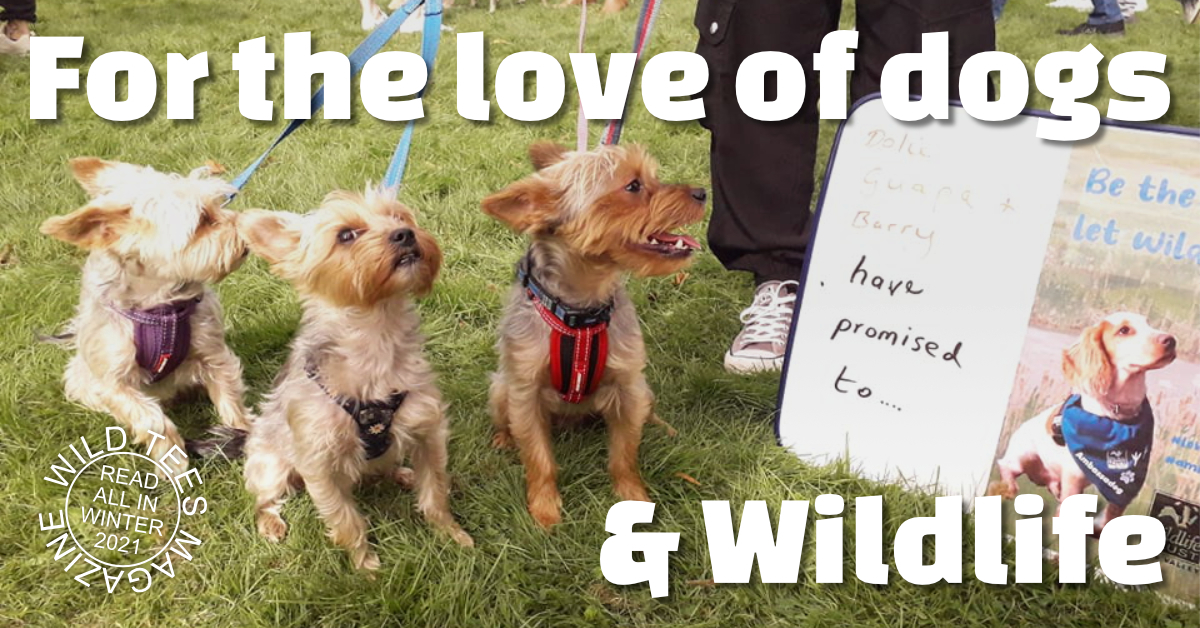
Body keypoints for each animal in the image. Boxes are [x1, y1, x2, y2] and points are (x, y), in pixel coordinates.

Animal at [42, 158, 255, 477]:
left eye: (219, 203)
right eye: (203, 220)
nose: (249, 230)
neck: (158, 305)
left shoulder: (213, 351)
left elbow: (230, 392)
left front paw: (244, 433)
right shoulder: (114, 382)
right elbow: (151, 419)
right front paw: (173, 461)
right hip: (80, 380)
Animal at [238, 188, 472, 573]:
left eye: (400, 217)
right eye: (346, 234)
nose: (405, 234)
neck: (375, 335)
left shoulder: (428, 429)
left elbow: (436, 492)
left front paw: (452, 535)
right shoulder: (318, 462)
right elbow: (345, 519)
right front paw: (366, 568)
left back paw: (402, 474)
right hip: (270, 464)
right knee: (264, 498)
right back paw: (270, 522)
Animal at [477, 143, 700, 530]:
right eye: (633, 186)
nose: (702, 192)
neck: (581, 310)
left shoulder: (627, 384)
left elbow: (624, 454)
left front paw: (633, 497)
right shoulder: (525, 393)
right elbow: (538, 457)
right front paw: (545, 508)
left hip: (643, 389)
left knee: (647, 410)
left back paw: (661, 425)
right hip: (501, 388)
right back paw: (503, 439)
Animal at [988, 312, 1176, 533]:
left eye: (1149, 324)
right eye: (1124, 330)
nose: (1171, 340)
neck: (1117, 415)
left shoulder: (1124, 493)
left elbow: (1110, 517)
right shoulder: (1074, 481)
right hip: (1022, 456)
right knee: (1005, 467)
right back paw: (1009, 488)